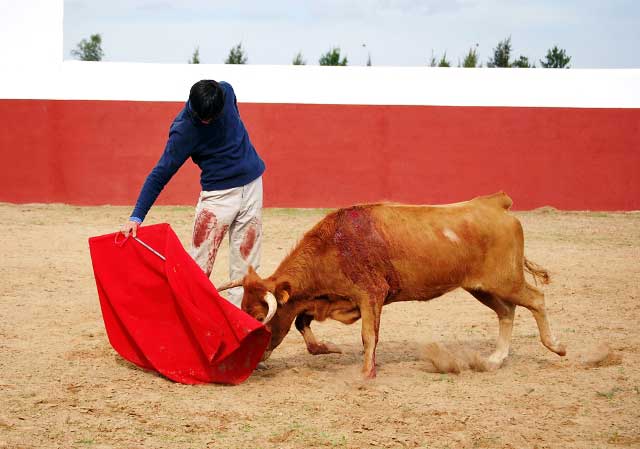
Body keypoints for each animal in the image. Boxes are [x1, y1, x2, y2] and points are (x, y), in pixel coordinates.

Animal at [219, 192, 564, 378]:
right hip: (482, 288)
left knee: (536, 299)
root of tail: (495, 203)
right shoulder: (326, 301)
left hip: (505, 281)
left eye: (258, 316)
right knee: (507, 312)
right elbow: (303, 323)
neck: (334, 247)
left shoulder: (371, 295)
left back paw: (556, 346)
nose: (251, 360)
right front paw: (329, 348)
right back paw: (494, 359)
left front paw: (366, 373)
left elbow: (368, 335)